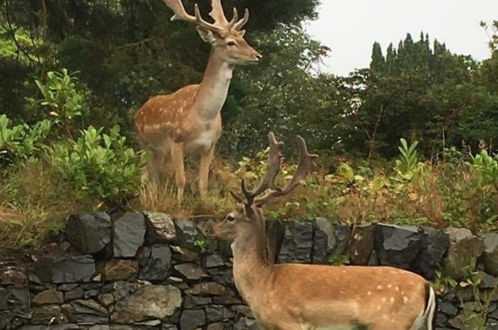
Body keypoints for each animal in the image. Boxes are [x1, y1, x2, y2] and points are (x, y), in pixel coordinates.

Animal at [134, 0, 262, 201]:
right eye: (230, 42)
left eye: (243, 39)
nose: (257, 55)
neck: (204, 118)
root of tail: (137, 113)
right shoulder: (176, 140)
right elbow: (181, 180)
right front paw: (178, 205)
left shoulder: (209, 146)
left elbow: (203, 184)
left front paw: (204, 203)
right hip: (144, 143)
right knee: (144, 174)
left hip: (159, 152)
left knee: (152, 176)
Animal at [206, 132, 436, 330]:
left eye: (230, 217)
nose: (212, 228)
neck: (262, 282)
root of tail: (427, 286)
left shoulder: (290, 322)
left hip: (389, 323)